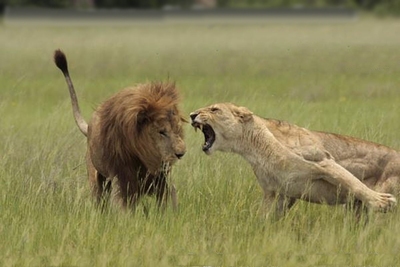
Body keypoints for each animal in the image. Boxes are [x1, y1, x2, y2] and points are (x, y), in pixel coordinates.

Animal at [53, 49, 186, 210]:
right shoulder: (122, 176)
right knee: (100, 200)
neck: (142, 153)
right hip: (97, 179)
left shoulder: (161, 177)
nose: (181, 154)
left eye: (178, 130)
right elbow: (123, 203)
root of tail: (89, 128)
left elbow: (167, 198)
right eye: (161, 132)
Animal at [191, 103, 396, 219]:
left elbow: (353, 182)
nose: (192, 115)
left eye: (214, 109)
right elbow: (263, 217)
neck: (252, 148)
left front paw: (381, 202)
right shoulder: (277, 192)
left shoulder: (323, 161)